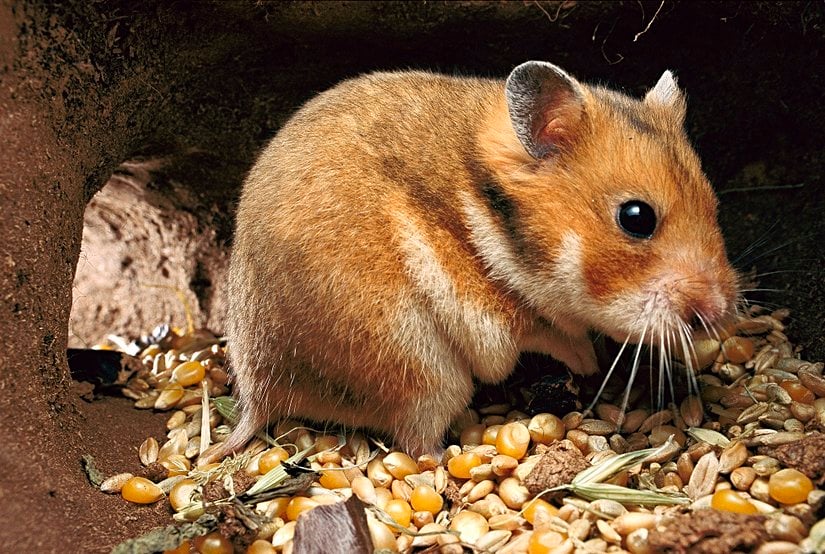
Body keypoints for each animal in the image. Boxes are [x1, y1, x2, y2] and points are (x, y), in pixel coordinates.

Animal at [223, 61, 738, 457]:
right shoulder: (500, 320)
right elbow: (556, 336)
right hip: (420, 371)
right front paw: (590, 364)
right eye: (636, 217)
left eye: (714, 205)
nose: (719, 314)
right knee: (416, 443)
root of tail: (260, 395)